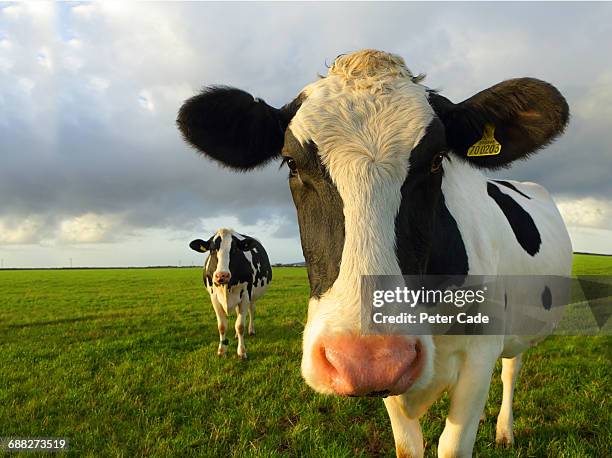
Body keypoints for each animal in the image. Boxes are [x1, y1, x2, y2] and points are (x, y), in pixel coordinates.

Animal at [189, 227, 270, 360]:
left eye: (235, 249)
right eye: (212, 249)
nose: (222, 275)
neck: (226, 286)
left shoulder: (246, 295)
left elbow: (240, 326)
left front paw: (242, 352)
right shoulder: (214, 298)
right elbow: (222, 326)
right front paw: (222, 350)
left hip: (252, 296)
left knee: (252, 311)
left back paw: (251, 330)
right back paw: (237, 336)